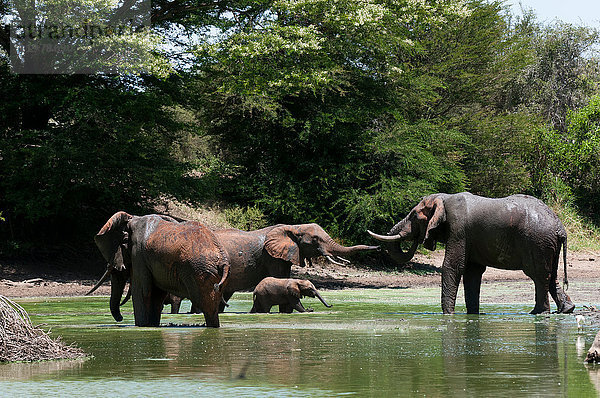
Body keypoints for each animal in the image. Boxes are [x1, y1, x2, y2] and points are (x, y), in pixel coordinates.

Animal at [86, 211, 230, 326]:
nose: (120, 319)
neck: (132, 219)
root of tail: (223, 260)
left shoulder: (139, 255)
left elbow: (141, 291)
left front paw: (142, 325)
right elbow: (156, 294)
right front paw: (151, 325)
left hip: (200, 271)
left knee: (207, 305)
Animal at [368, 194, 576, 316]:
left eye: (413, 216)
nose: (419, 238)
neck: (443, 198)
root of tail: (560, 228)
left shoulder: (459, 229)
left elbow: (453, 267)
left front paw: (448, 316)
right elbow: (472, 273)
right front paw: (472, 315)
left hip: (536, 242)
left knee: (538, 275)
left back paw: (538, 313)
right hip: (547, 244)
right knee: (551, 275)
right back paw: (566, 310)